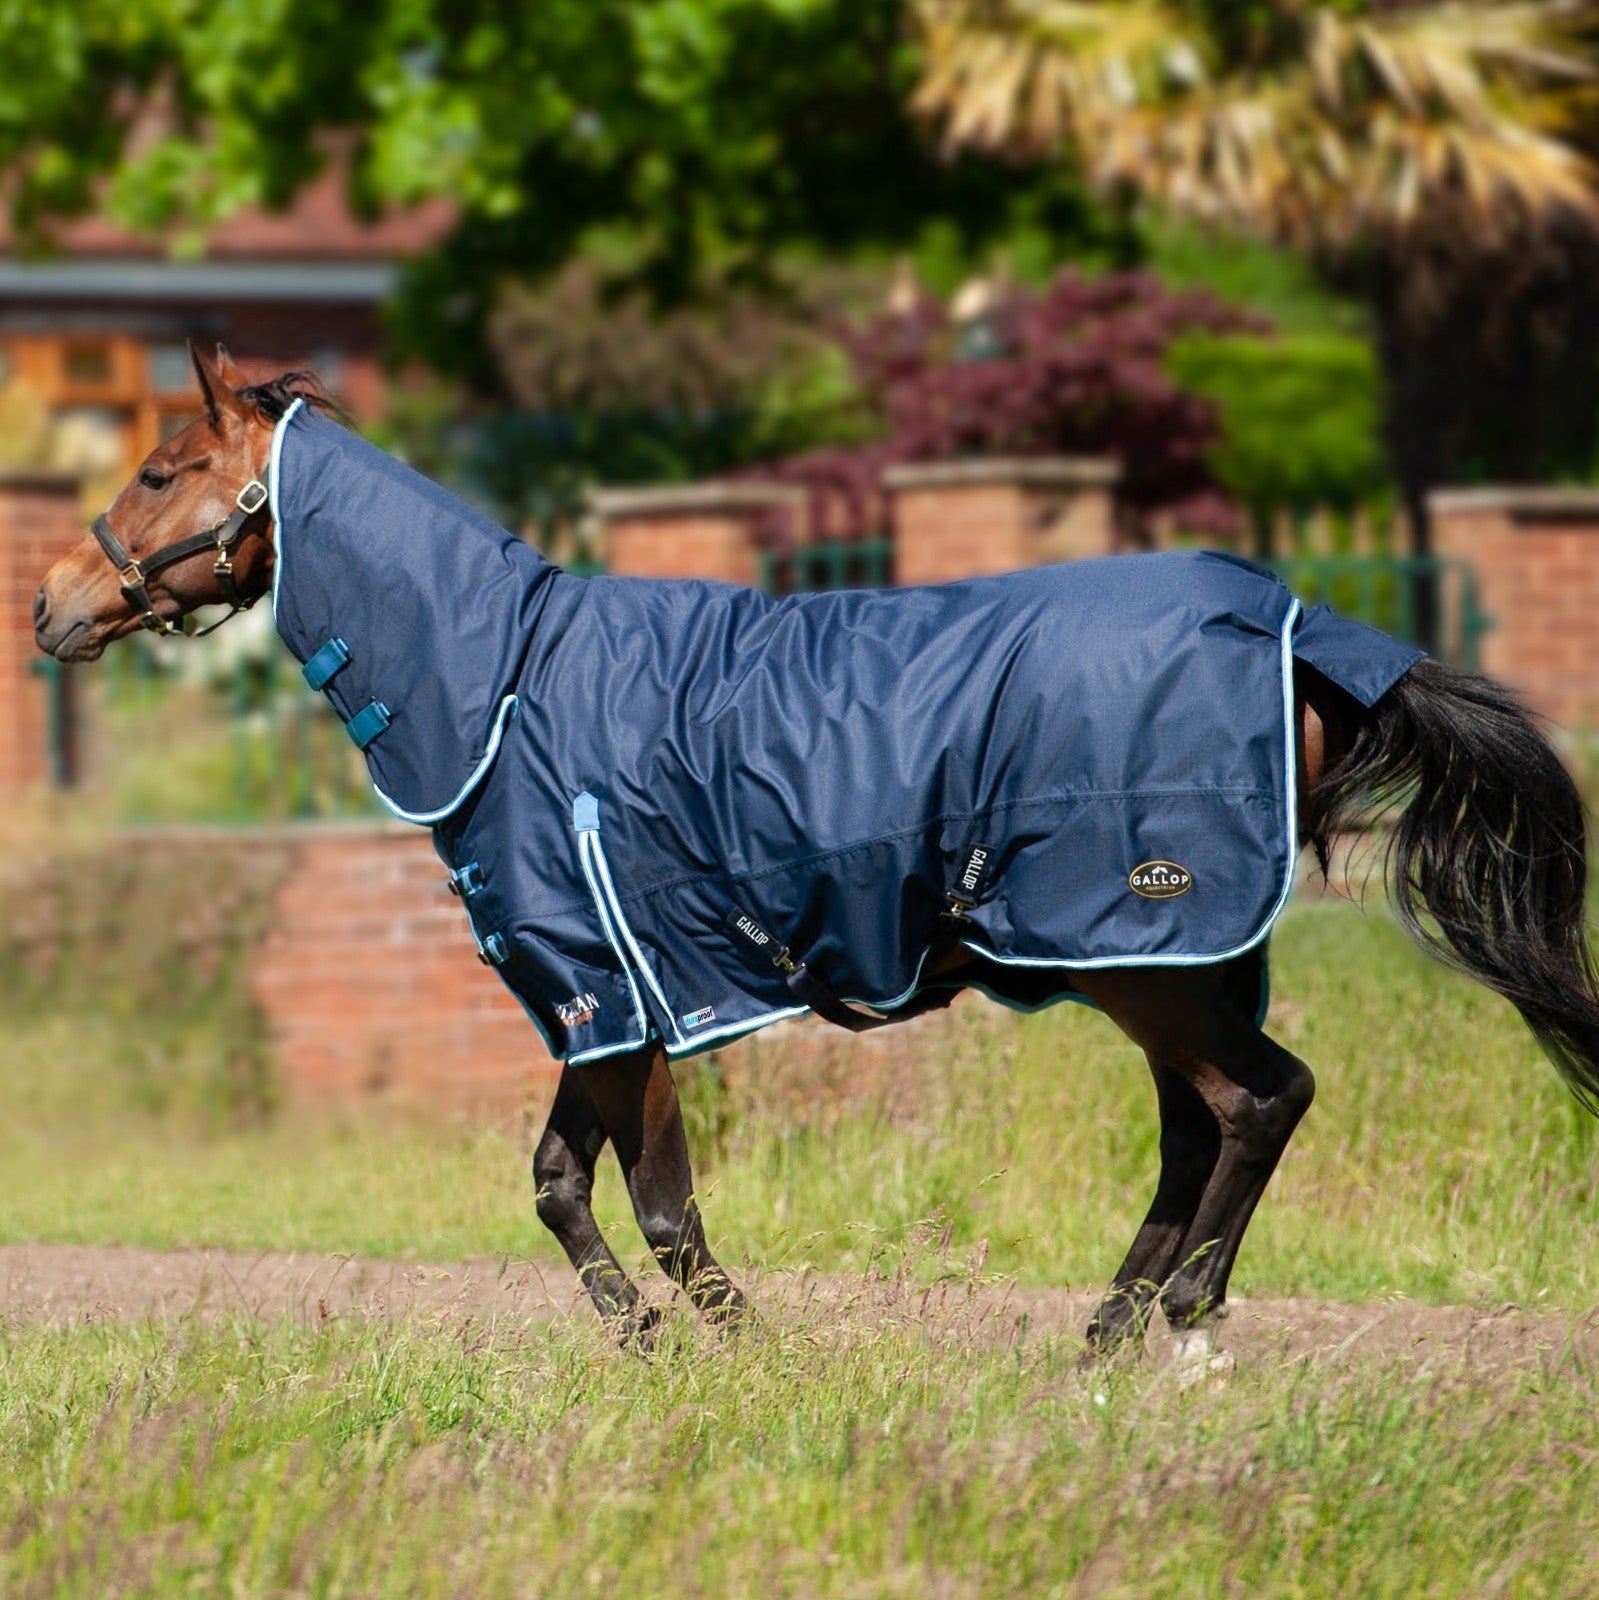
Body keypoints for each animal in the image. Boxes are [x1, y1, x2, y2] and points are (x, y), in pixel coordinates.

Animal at [33, 346, 1599, 1366]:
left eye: (164, 467)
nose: (50, 600)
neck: (509, 686)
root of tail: (1293, 624)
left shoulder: (626, 991)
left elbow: (660, 1204)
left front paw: (730, 1345)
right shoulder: (595, 997)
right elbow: (556, 1185)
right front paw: (648, 1343)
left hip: (1136, 949)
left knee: (1259, 1101)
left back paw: (1180, 1316)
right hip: (1163, 955)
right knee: (1195, 1125)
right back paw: (1099, 1335)